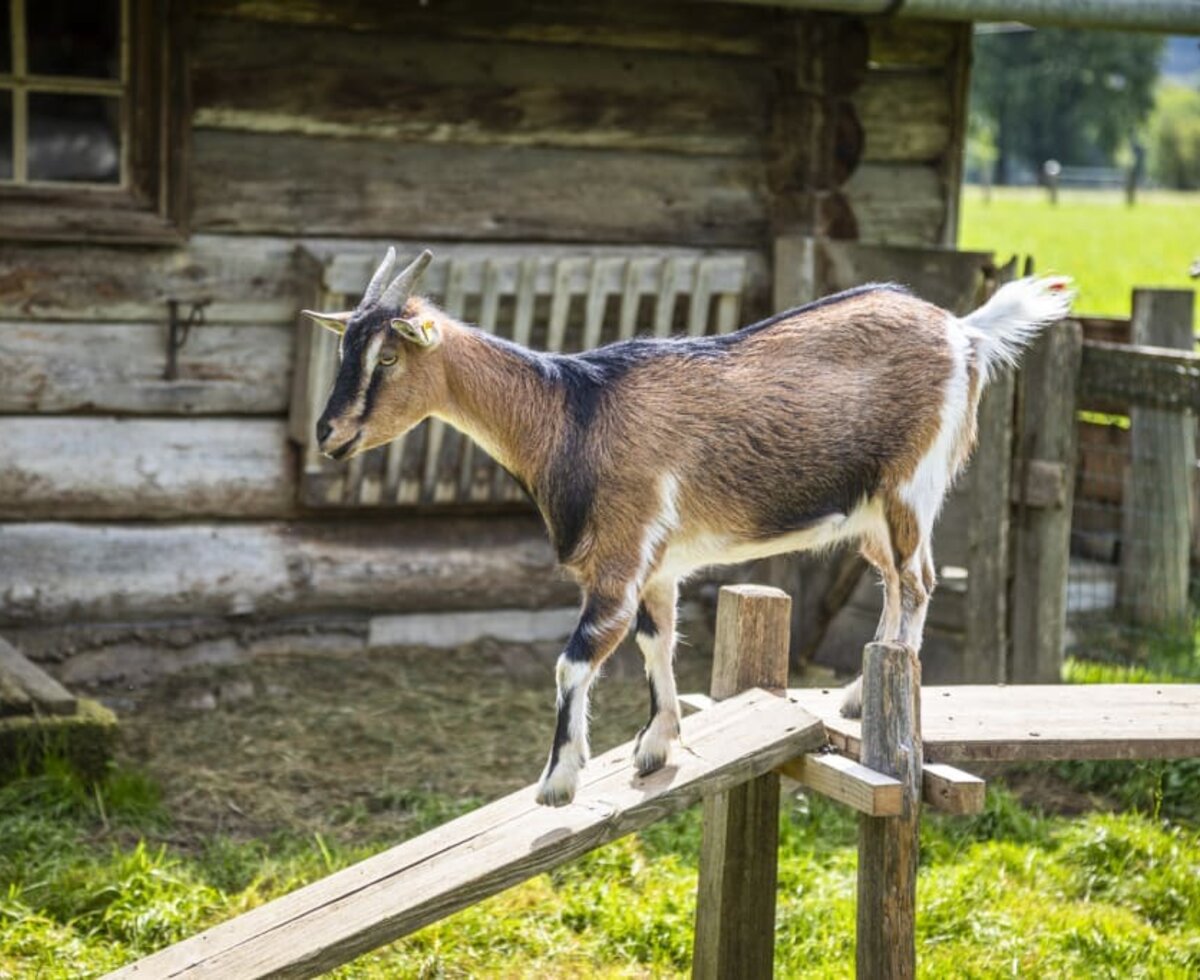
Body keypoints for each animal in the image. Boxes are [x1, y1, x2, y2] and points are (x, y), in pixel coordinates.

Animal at [304, 248, 1075, 806]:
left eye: (388, 355)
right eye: (346, 350)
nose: (328, 433)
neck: (572, 414)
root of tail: (964, 332)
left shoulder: (619, 557)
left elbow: (575, 659)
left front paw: (558, 781)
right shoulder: (657, 566)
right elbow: (656, 642)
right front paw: (655, 744)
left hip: (911, 487)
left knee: (917, 585)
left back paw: (884, 689)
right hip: (873, 515)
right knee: (894, 582)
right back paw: (859, 694)